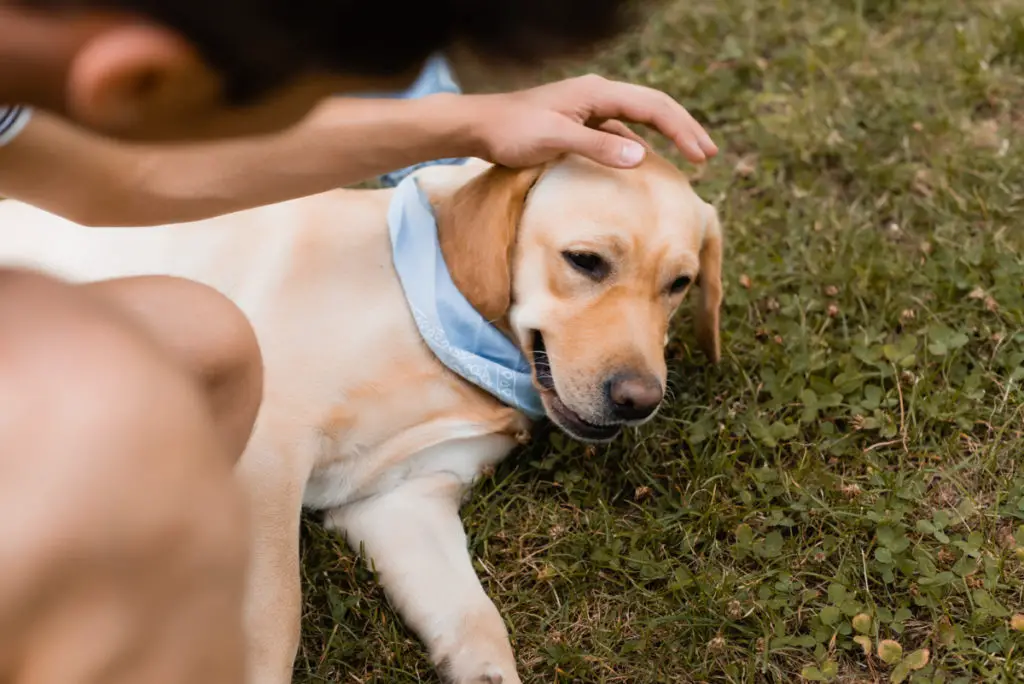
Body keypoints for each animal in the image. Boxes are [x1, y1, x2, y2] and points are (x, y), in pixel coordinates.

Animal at [0, 152, 724, 679]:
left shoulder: (403, 501)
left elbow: (478, 624)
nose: (639, 399)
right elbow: (275, 617)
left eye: (679, 284)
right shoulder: (272, 450)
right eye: (585, 261)